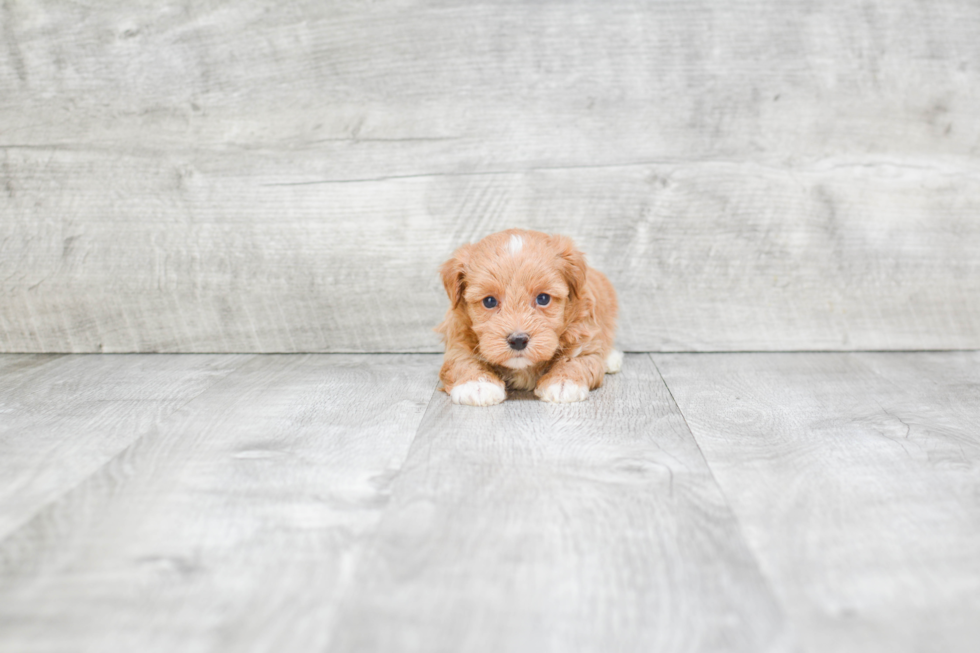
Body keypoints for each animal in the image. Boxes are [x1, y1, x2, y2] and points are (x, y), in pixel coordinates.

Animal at [436, 227, 620, 404]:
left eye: (543, 298)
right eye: (489, 301)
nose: (518, 340)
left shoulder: (583, 339)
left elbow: (576, 360)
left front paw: (563, 383)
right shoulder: (458, 341)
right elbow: (463, 361)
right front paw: (477, 385)